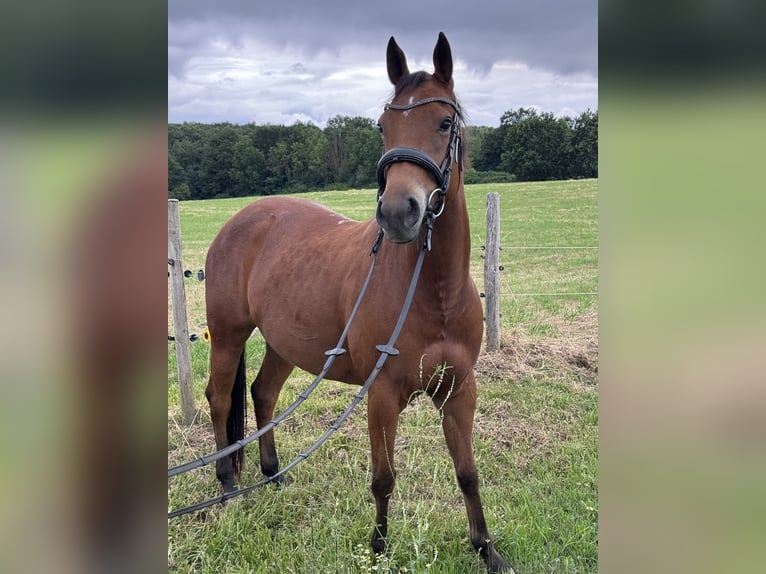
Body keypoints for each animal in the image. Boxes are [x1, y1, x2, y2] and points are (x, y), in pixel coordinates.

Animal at [203, 32, 512, 573]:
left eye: (444, 122)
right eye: (383, 125)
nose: (398, 212)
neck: (433, 294)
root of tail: (240, 220)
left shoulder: (459, 391)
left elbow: (469, 473)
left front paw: (486, 549)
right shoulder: (382, 394)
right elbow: (383, 478)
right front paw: (379, 547)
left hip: (283, 343)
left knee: (263, 394)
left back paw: (273, 474)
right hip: (227, 336)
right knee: (221, 401)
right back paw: (227, 488)